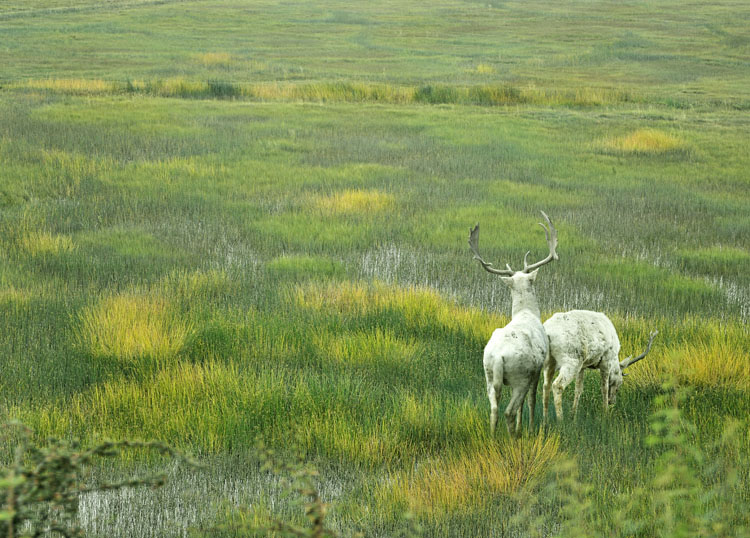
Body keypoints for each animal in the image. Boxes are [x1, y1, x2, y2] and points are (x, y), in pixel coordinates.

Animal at [470, 209, 560, 436]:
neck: (527, 313)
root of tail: (498, 358)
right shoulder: (537, 369)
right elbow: (531, 400)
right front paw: (529, 428)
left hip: (488, 374)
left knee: (494, 409)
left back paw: (493, 437)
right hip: (520, 375)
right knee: (509, 411)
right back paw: (514, 437)